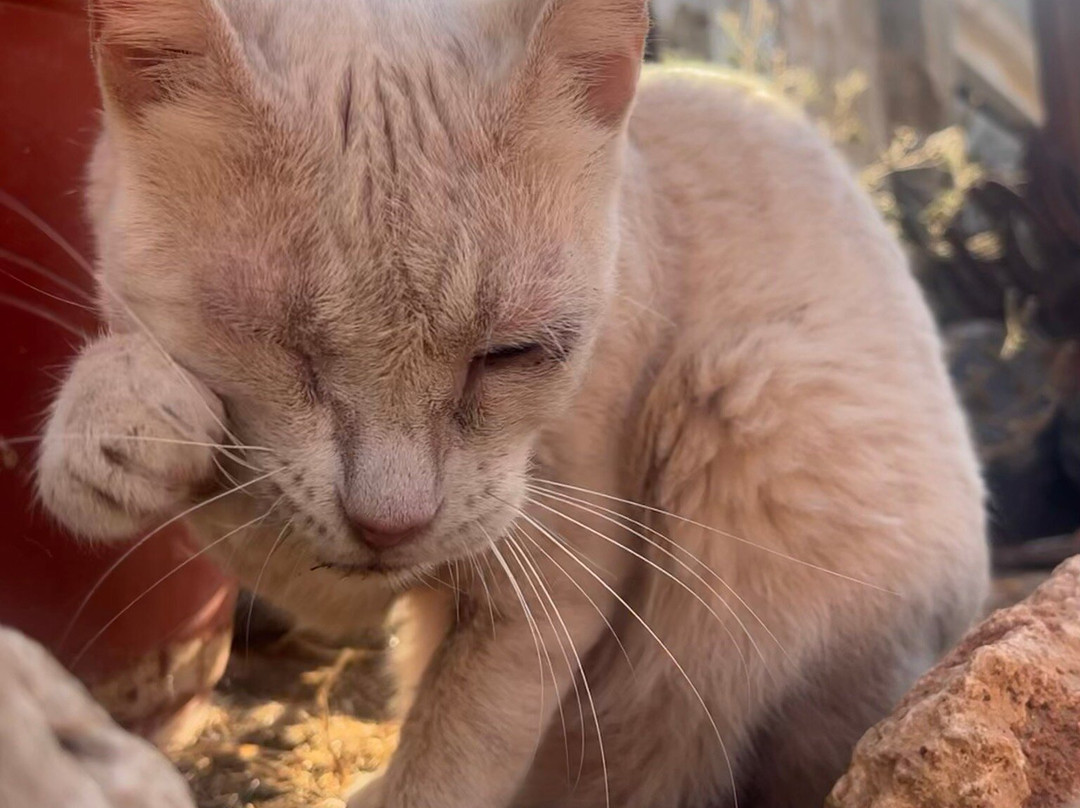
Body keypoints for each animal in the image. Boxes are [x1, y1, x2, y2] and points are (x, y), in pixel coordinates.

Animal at [39, 0, 989, 803]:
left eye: (510, 355)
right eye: (282, 346)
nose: (391, 521)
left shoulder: (548, 591)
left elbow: (445, 773)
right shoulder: (347, 575)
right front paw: (118, 425)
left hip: (772, 413)